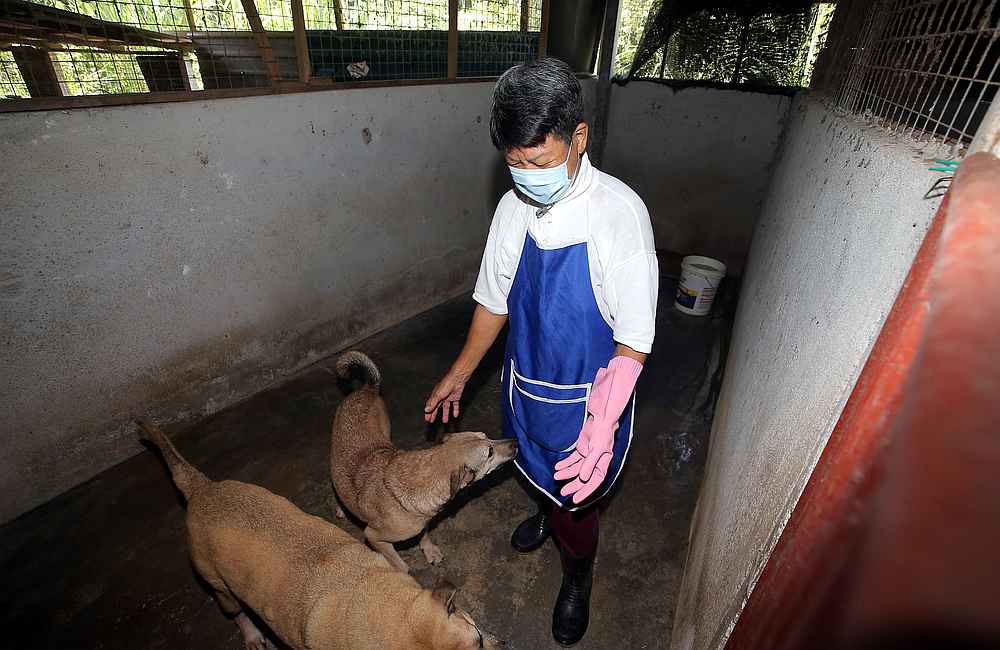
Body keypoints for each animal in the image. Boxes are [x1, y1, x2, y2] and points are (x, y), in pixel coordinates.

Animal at [330, 352, 516, 568]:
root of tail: (367, 388)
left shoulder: (423, 522)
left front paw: (429, 550)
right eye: (490, 452)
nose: (516, 442)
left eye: (486, 437)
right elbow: (401, 566)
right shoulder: (373, 537)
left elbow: (424, 533)